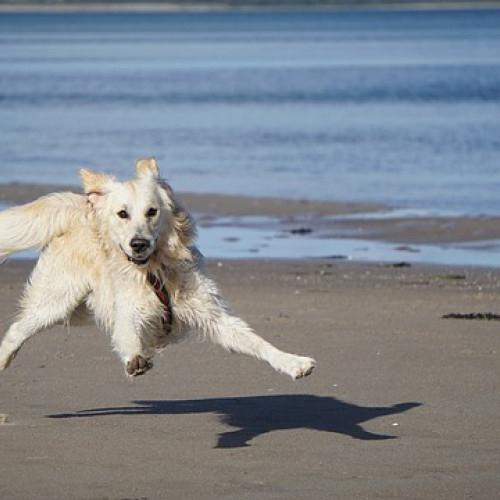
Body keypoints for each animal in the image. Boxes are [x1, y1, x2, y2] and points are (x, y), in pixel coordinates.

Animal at [0, 159, 316, 378]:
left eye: (152, 211)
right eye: (122, 213)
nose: (138, 244)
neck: (156, 272)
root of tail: (80, 208)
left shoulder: (212, 315)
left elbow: (257, 342)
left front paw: (293, 362)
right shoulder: (127, 312)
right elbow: (129, 336)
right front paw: (135, 360)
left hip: (77, 310)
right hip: (57, 300)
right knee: (18, 328)